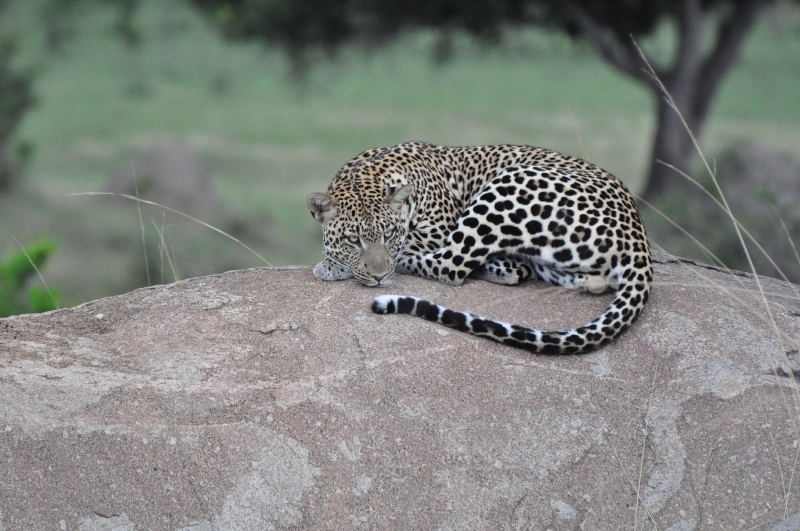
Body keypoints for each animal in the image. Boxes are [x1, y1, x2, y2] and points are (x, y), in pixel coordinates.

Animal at [308, 141, 652, 354]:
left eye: (389, 234)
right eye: (353, 239)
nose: (380, 277)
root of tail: (638, 235)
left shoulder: (438, 231)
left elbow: (408, 249)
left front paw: (332, 265)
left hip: (509, 185)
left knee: (451, 266)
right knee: (526, 271)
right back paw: (503, 265)